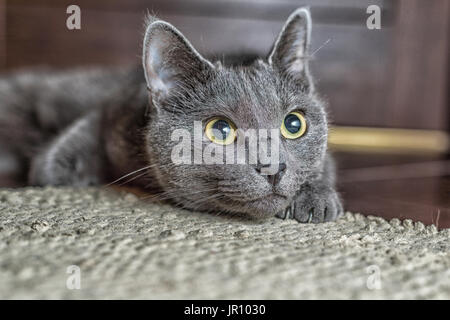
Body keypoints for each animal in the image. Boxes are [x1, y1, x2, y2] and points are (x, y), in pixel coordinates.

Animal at [0, 7, 342, 222]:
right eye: (220, 130)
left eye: (294, 124)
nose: (273, 168)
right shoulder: (111, 111)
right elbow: (53, 165)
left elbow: (324, 163)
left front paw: (317, 197)